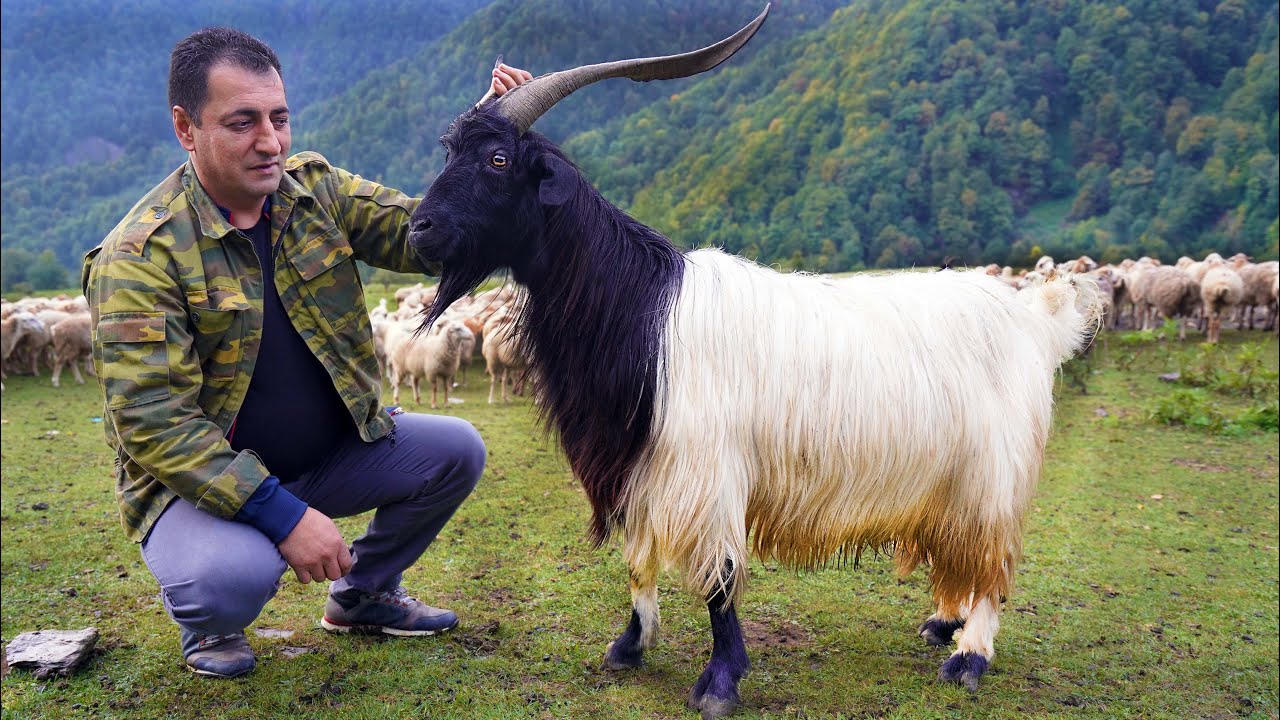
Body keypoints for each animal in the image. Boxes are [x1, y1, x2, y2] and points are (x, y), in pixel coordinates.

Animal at [408, 6, 1099, 717]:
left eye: (497, 159)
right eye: (450, 153)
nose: (418, 229)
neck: (643, 308)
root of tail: (1035, 317)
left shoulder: (708, 470)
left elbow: (719, 578)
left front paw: (720, 679)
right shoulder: (636, 460)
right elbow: (638, 558)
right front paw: (631, 645)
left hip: (994, 472)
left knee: (994, 562)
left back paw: (969, 655)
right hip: (950, 477)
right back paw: (943, 623)